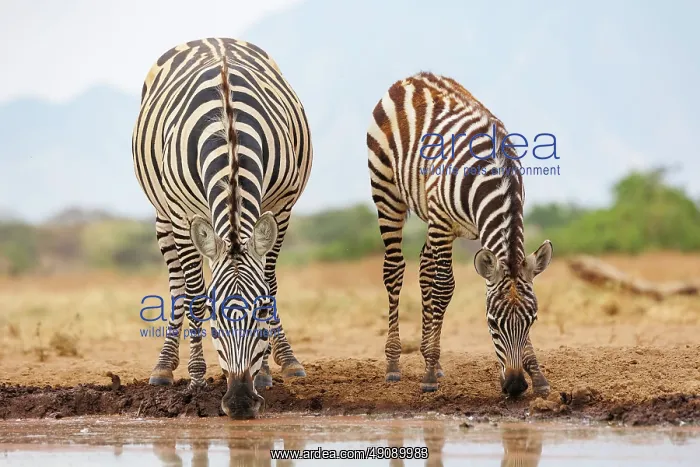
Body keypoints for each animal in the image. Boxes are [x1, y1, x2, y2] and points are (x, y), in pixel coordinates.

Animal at [132, 38, 312, 418]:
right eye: (216, 314)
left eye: (261, 311)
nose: (240, 403)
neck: (229, 133)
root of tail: (212, 38)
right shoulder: (184, 214)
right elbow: (195, 295)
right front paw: (197, 378)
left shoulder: (281, 207)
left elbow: (271, 283)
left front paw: (268, 372)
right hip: (162, 214)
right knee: (177, 287)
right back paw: (164, 368)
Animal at [366, 72, 553, 397]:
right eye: (492, 324)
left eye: (532, 321)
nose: (516, 386)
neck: (496, 175)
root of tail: (413, 77)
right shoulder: (442, 222)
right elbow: (444, 289)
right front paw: (428, 374)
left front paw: (537, 375)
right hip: (387, 191)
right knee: (395, 270)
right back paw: (393, 363)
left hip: (428, 215)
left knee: (424, 269)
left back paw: (431, 357)